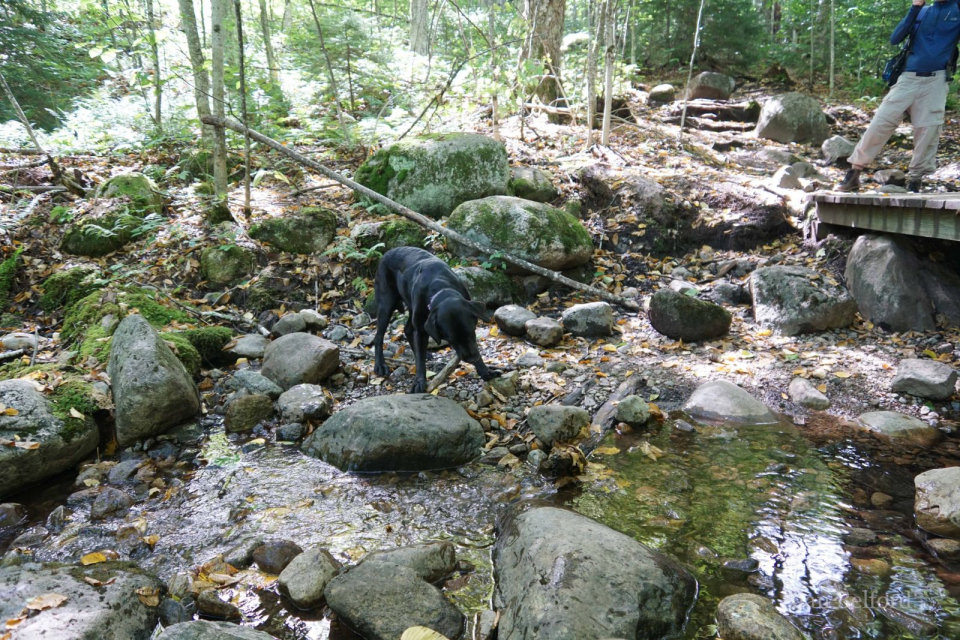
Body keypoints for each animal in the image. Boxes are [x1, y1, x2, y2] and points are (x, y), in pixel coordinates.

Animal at [374, 248, 502, 392]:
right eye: (452, 339)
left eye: (471, 332)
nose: (471, 358)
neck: (441, 288)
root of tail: (387, 252)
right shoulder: (421, 331)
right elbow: (420, 361)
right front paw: (419, 381)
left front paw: (486, 372)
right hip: (386, 304)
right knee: (379, 336)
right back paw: (380, 365)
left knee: (408, 330)